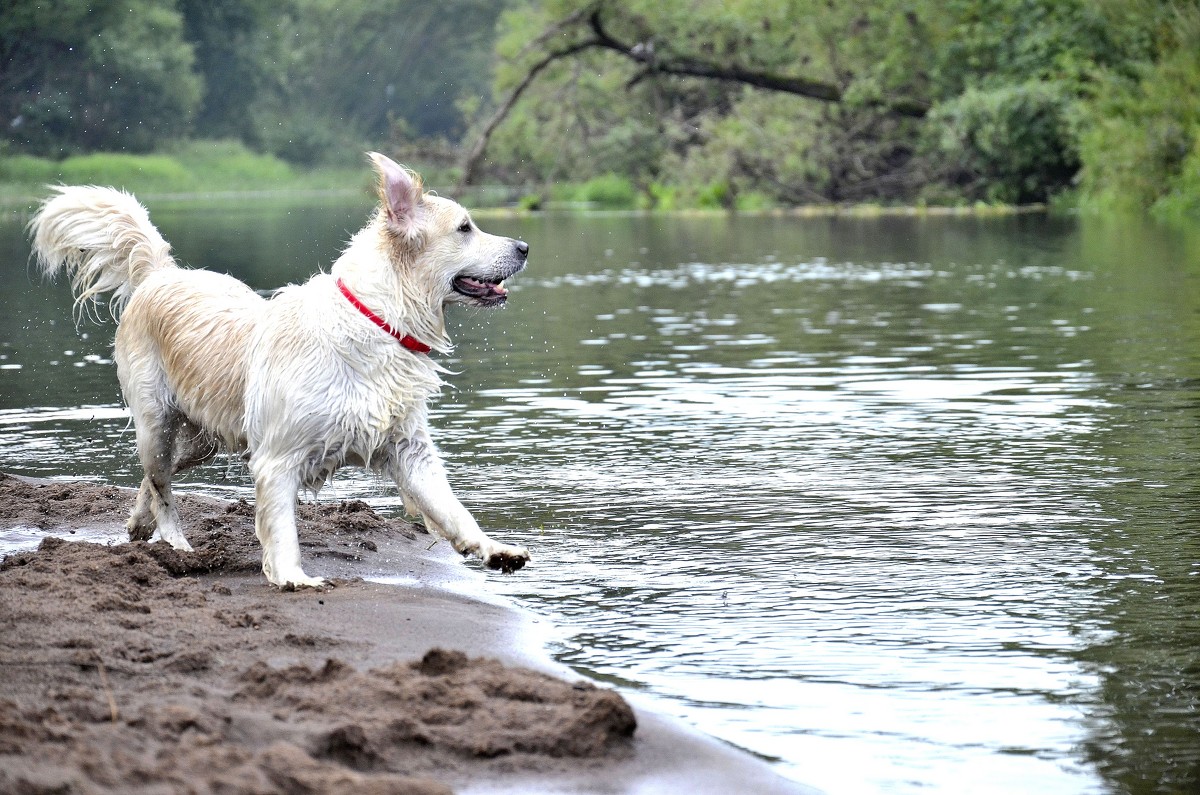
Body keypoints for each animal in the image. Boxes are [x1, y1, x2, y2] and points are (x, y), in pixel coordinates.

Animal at [29, 152, 530, 588]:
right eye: (465, 227)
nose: (524, 246)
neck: (377, 320)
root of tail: (161, 275)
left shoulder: (408, 448)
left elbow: (451, 506)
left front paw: (494, 549)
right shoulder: (276, 459)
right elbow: (282, 526)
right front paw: (293, 577)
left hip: (206, 437)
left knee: (155, 479)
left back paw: (138, 524)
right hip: (157, 423)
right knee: (160, 481)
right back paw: (174, 540)